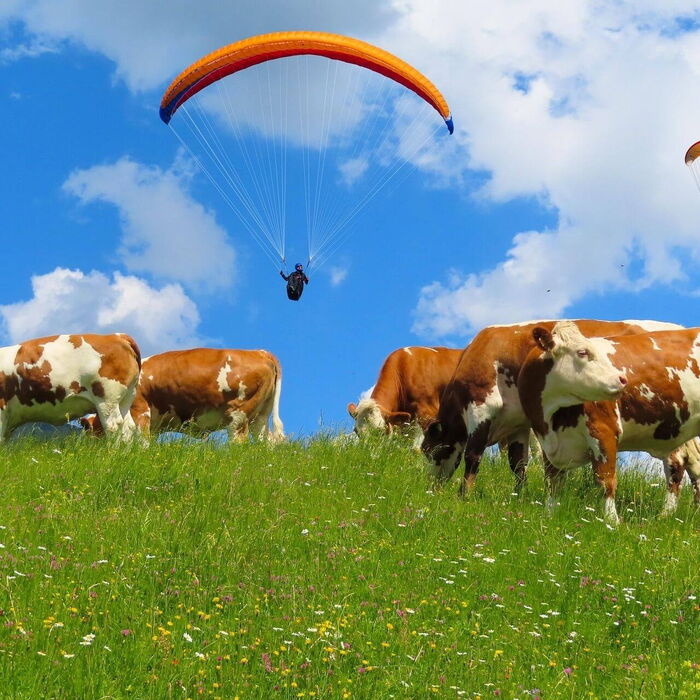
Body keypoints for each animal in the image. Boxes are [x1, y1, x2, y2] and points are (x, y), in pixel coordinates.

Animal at [84, 348, 284, 442]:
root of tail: (260, 352)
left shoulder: (140, 410)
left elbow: (141, 440)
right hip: (260, 416)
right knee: (267, 441)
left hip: (239, 415)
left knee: (239, 441)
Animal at [422, 319, 684, 494]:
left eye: (428, 451)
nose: (431, 489)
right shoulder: (517, 423)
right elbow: (518, 464)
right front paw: (519, 497)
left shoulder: (481, 407)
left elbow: (473, 455)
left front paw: (464, 496)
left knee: (676, 464)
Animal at [518, 322, 700, 523]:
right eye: (582, 352)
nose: (622, 379)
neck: (552, 419)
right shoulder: (547, 443)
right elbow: (553, 482)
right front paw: (549, 515)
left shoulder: (604, 431)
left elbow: (605, 480)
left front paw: (612, 521)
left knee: (677, 466)